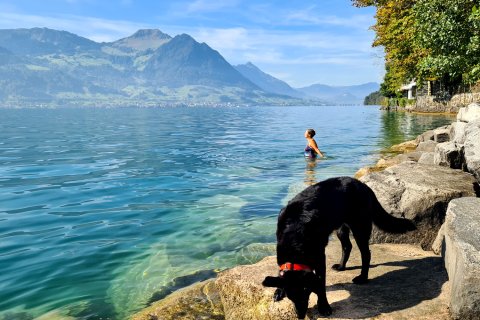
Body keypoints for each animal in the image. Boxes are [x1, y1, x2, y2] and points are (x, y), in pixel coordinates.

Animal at [262, 176, 416, 318]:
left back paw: (362, 277)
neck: (295, 236)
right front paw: (278, 290)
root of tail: (363, 185)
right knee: (347, 246)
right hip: (341, 228)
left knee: (366, 253)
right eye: (291, 296)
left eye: (306, 291)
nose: (300, 315)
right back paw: (342, 266)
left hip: (360, 227)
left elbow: (321, 284)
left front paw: (324, 306)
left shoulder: (320, 258)